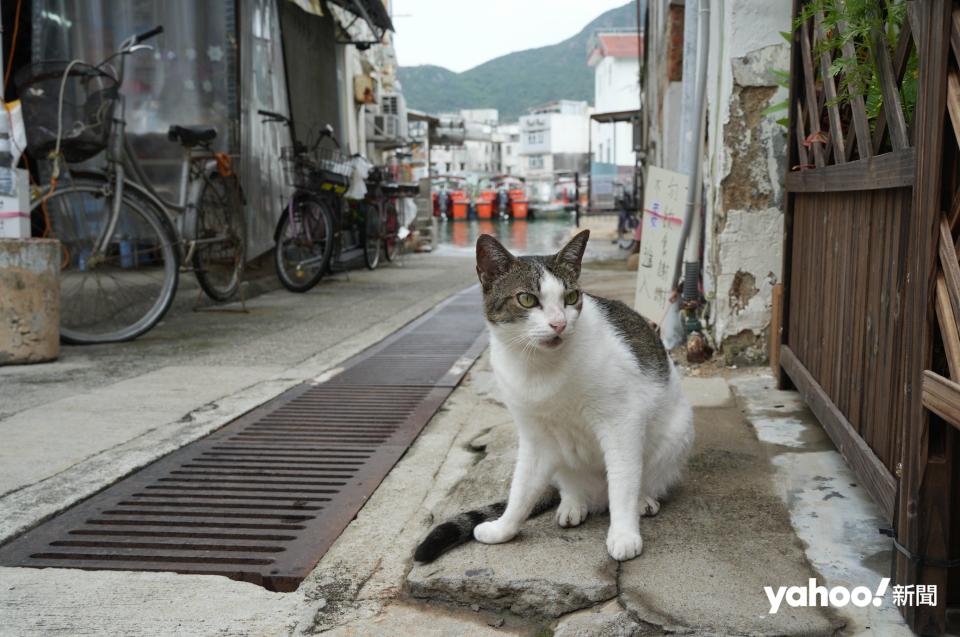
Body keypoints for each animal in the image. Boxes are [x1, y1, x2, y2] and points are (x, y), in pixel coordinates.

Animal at [412, 230, 688, 560]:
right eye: (527, 299)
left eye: (571, 298)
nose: (559, 323)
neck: (539, 367)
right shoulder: (535, 436)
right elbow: (521, 488)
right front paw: (503, 528)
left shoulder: (622, 422)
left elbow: (623, 481)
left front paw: (623, 534)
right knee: (568, 485)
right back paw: (572, 502)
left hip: (674, 438)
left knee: (641, 479)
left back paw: (642, 499)